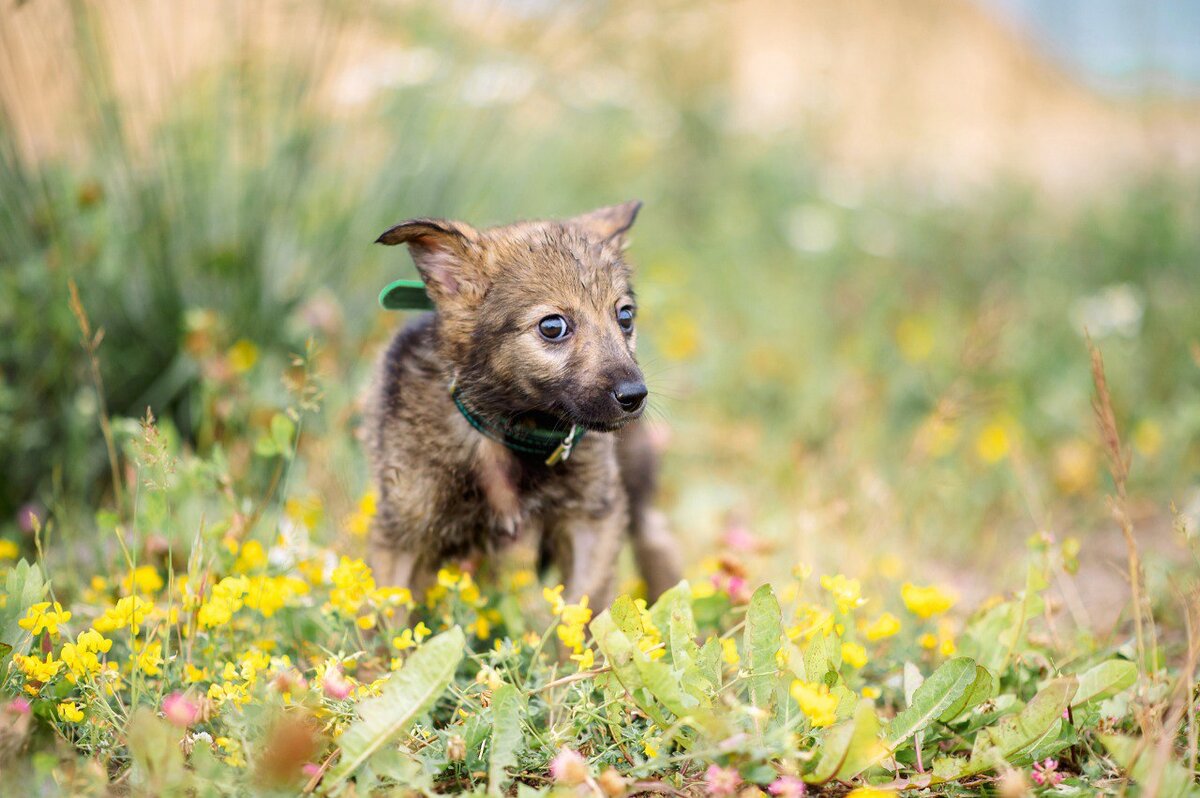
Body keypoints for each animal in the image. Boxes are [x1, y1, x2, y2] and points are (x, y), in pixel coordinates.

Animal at [364, 202, 681, 607]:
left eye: (624, 317)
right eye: (553, 327)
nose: (634, 396)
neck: (509, 431)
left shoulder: (594, 518)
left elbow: (588, 604)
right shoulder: (402, 532)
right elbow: (384, 614)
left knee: (656, 542)